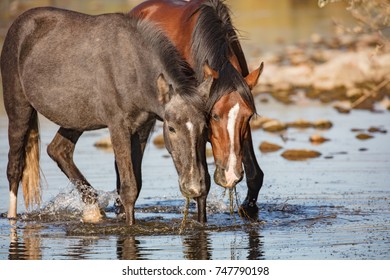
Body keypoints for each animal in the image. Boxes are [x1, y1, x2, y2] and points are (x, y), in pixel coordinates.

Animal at [0, 7, 213, 225]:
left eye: (205, 127)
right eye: (171, 128)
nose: (194, 186)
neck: (134, 67)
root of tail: (19, 25)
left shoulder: (142, 128)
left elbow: (133, 185)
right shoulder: (118, 126)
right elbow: (129, 188)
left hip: (76, 118)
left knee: (58, 150)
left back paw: (93, 209)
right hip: (19, 111)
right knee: (14, 167)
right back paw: (12, 217)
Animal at [129, 0, 264, 219]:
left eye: (249, 116)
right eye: (214, 115)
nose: (230, 175)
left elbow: (254, 175)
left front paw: (249, 209)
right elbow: (202, 184)